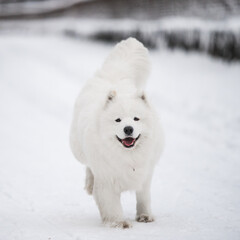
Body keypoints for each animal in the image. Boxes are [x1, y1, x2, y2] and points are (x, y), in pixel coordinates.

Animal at [69, 37, 163, 229]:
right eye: (118, 120)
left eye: (136, 119)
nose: (128, 129)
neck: (128, 156)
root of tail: (114, 74)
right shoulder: (106, 179)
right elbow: (111, 204)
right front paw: (118, 223)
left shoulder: (144, 174)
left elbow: (144, 197)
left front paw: (145, 216)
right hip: (79, 150)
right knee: (88, 166)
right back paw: (89, 184)